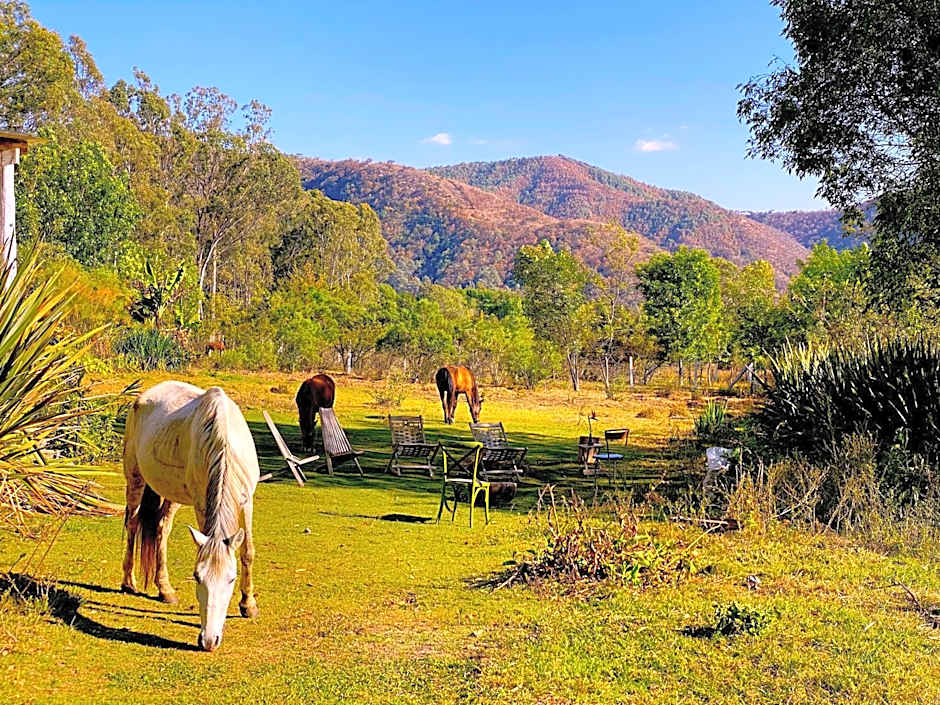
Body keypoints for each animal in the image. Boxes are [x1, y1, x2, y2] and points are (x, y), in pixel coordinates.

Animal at [121, 381, 260, 652]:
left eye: (231, 579)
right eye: (197, 577)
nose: (209, 641)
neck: (224, 443)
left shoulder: (246, 502)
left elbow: (247, 551)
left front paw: (248, 604)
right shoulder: (201, 504)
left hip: (171, 493)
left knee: (161, 528)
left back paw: (165, 589)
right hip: (135, 479)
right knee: (132, 524)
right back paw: (128, 582)